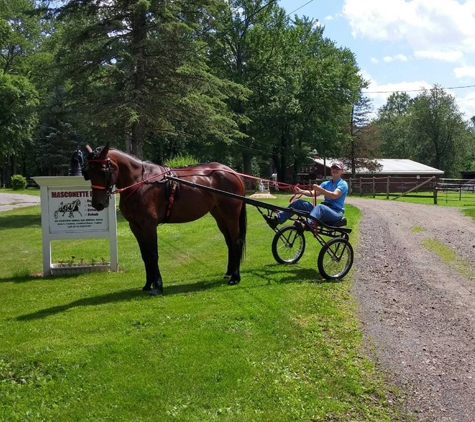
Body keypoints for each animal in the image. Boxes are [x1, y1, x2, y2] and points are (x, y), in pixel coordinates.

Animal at [83, 143, 247, 296]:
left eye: (103, 172)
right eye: (88, 172)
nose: (98, 204)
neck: (141, 182)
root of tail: (233, 173)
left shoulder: (149, 225)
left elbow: (153, 254)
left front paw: (157, 286)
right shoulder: (135, 226)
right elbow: (145, 255)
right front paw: (148, 284)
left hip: (231, 215)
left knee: (236, 242)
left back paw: (235, 277)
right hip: (219, 215)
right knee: (229, 242)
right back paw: (229, 273)